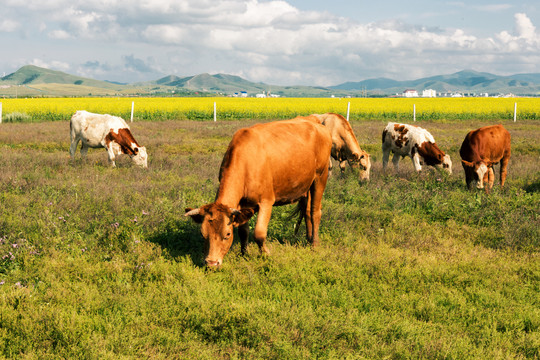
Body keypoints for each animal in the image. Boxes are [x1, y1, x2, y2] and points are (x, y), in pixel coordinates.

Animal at [186, 118, 332, 268]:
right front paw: (244, 254)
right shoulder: (241, 206)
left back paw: (314, 244)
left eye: (227, 234)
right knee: (307, 210)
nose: (212, 263)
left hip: (321, 176)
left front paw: (266, 254)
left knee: (315, 212)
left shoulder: (266, 201)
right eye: (203, 234)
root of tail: (313, 121)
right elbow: (243, 232)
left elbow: (259, 234)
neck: (246, 163)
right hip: (306, 185)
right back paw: (308, 239)